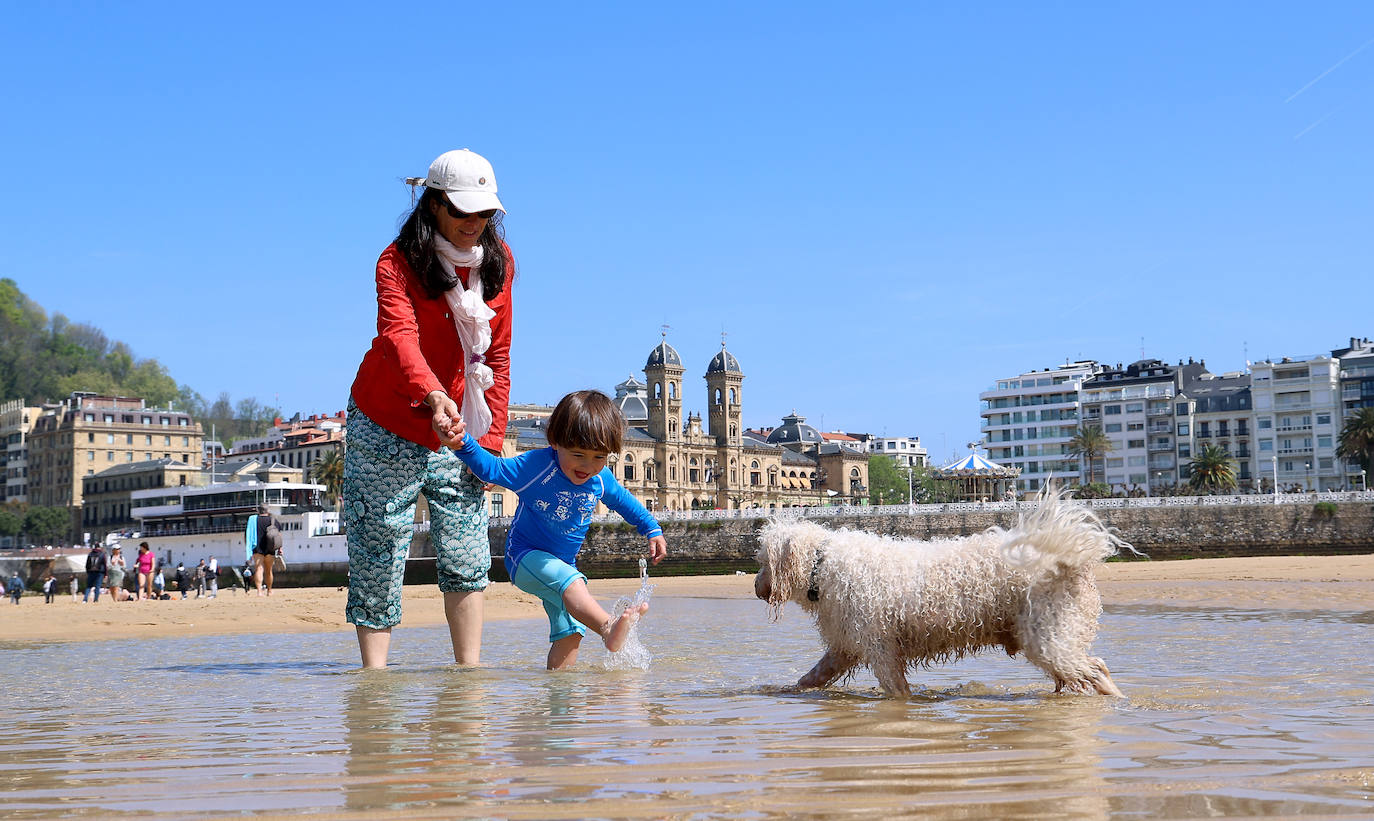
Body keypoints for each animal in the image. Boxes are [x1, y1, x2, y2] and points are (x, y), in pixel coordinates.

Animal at [758, 494, 1132, 700]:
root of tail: (1068, 559)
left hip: (1048, 636)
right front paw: (784, 692)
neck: (822, 565)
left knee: (1095, 669)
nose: (757, 589)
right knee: (1087, 669)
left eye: (760, 560)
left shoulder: (880, 647)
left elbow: (896, 689)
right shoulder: (844, 646)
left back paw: (1120, 700)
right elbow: (811, 678)